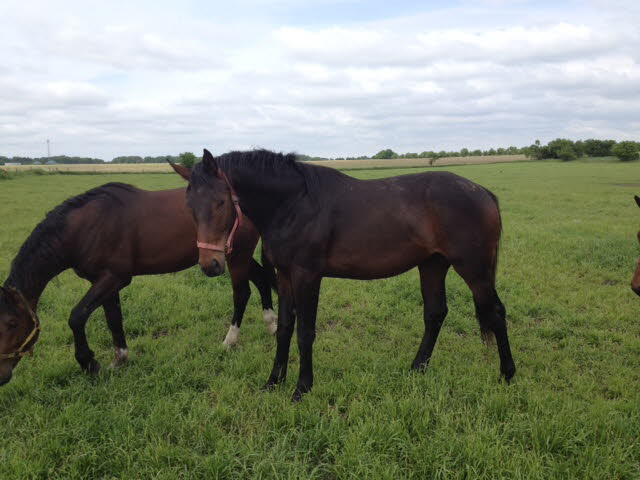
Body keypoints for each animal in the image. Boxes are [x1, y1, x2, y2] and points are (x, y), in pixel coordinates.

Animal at [0, 183, 276, 386]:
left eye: (12, 323)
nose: (1, 377)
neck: (85, 227)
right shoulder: (105, 281)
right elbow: (114, 319)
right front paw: (119, 359)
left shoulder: (113, 278)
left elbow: (77, 317)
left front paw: (89, 363)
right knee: (262, 279)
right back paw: (272, 324)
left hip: (236, 255)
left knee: (241, 293)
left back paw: (230, 341)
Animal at [174, 149, 516, 402]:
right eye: (189, 204)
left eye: (220, 202)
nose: (210, 264)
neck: (294, 203)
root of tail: (483, 193)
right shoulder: (284, 276)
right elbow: (284, 328)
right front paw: (273, 382)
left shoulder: (307, 276)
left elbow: (305, 332)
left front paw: (301, 388)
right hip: (432, 264)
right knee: (435, 313)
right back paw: (417, 368)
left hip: (474, 269)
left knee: (496, 313)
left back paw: (507, 374)